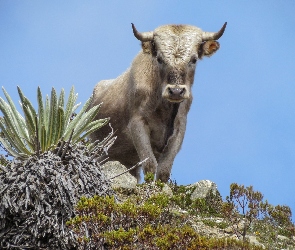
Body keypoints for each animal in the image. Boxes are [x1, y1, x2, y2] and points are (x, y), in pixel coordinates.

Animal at [89, 22, 228, 183]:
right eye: (160, 59)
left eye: (193, 59)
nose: (176, 91)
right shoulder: (137, 124)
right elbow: (150, 165)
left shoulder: (179, 129)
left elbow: (164, 170)